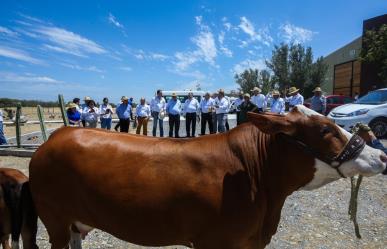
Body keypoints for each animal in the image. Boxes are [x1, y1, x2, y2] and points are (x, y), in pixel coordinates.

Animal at [28, 106, 386, 249]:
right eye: (325, 129)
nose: (381, 155)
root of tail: (55, 137)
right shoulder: (214, 241)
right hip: (54, 220)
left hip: (74, 224)